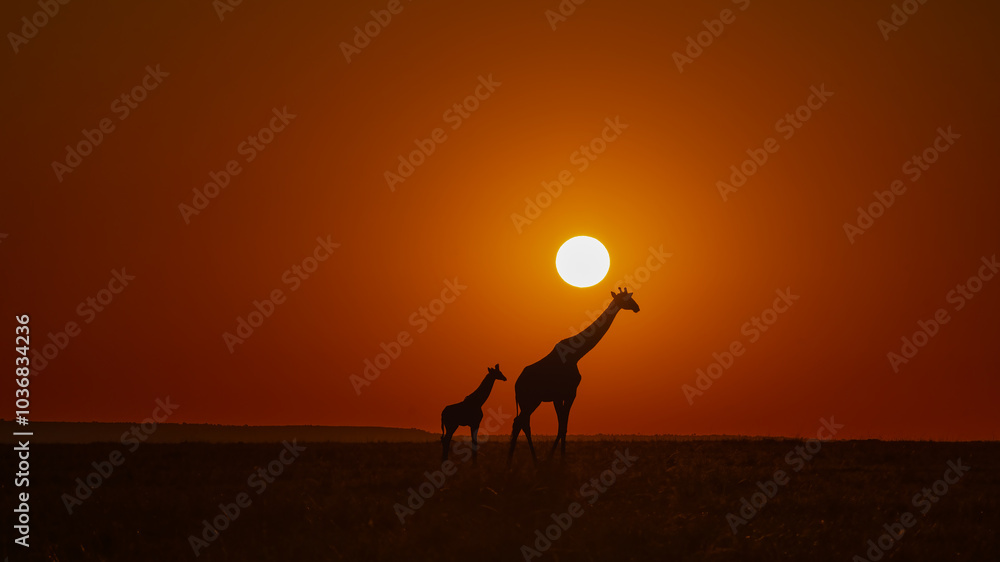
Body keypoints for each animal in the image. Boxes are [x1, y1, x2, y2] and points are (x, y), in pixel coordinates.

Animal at [508, 287, 640, 466]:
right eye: (626, 299)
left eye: (630, 297)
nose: (637, 307)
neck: (576, 354)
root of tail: (516, 384)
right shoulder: (567, 394)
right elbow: (562, 426)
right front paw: (557, 459)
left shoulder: (562, 396)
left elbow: (563, 426)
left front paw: (556, 458)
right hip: (530, 400)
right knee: (521, 423)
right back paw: (524, 461)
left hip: (528, 402)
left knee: (521, 423)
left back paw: (518, 461)